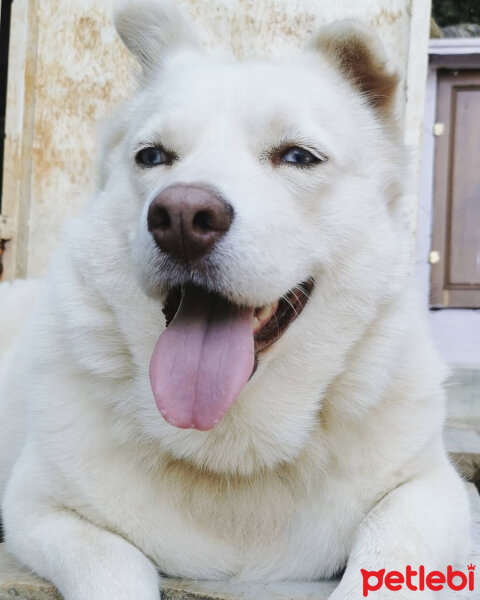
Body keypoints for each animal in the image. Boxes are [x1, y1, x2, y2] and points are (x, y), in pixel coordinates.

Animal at [0, 1, 468, 600]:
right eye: (153, 156)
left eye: (298, 156)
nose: (180, 218)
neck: (232, 445)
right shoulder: (39, 508)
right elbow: (113, 561)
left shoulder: (432, 489)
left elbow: (389, 550)